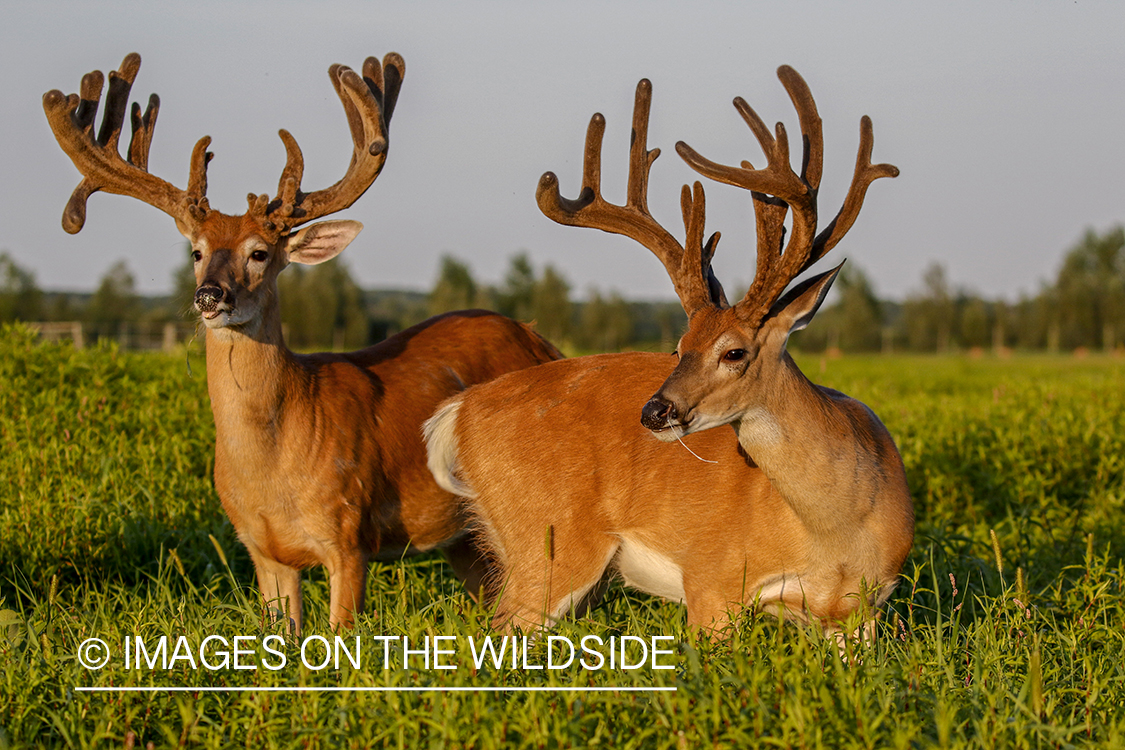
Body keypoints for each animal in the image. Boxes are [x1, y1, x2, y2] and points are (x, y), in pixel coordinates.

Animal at [43, 52, 562, 634]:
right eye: (196, 251)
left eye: (260, 252)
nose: (209, 295)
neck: (272, 468)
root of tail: (543, 341)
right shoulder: (260, 550)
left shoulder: (349, 533)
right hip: (465, 537)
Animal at [427, 66, 913, 638]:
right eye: (680, 346)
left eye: (733, 352)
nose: (654, 411)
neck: (838, 533)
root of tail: (461, 410)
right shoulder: (712, 578)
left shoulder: (863, 613)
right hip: (547, 542)